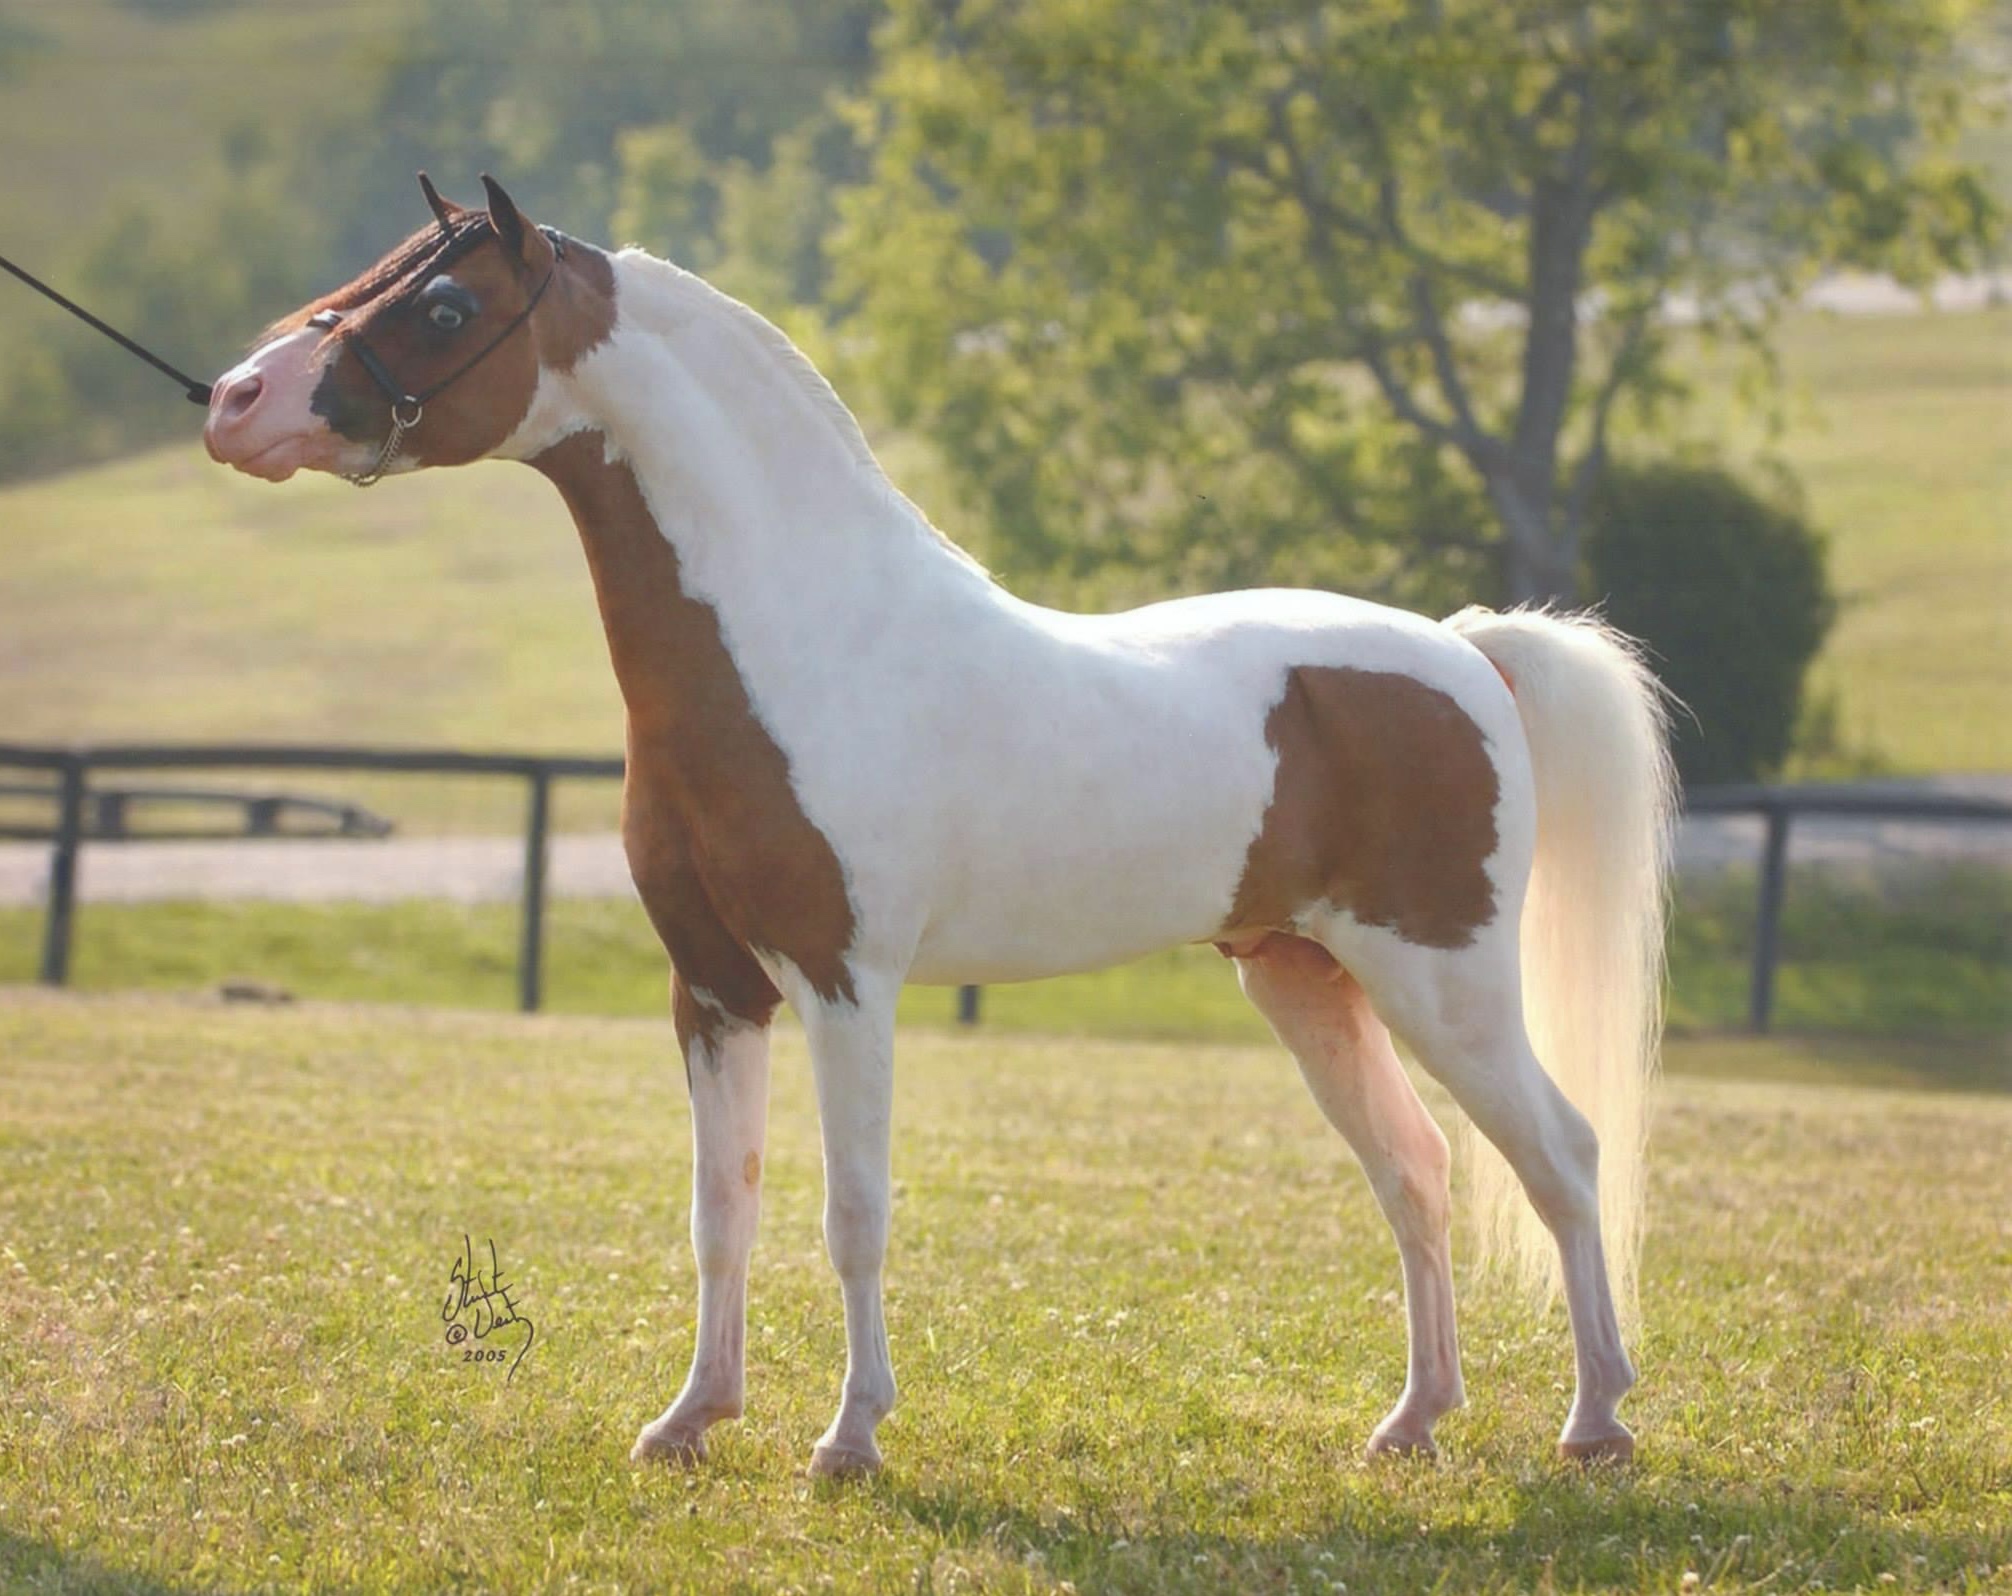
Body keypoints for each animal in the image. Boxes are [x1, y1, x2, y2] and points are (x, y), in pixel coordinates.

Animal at [203, 174, 1676, 1477]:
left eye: (446, 305)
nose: (235, 401)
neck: (805, 635)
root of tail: (1465, 651)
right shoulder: (713, 990)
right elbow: (721, 1212)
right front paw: (690, 1422)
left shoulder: (846, 985)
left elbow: (853, 1212)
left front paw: (848, 1439)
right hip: (1304, 977)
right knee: (1416, 1172)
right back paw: (1412, 1424)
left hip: (1445, 982)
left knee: (1560, 1156)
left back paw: (1595, 1423)